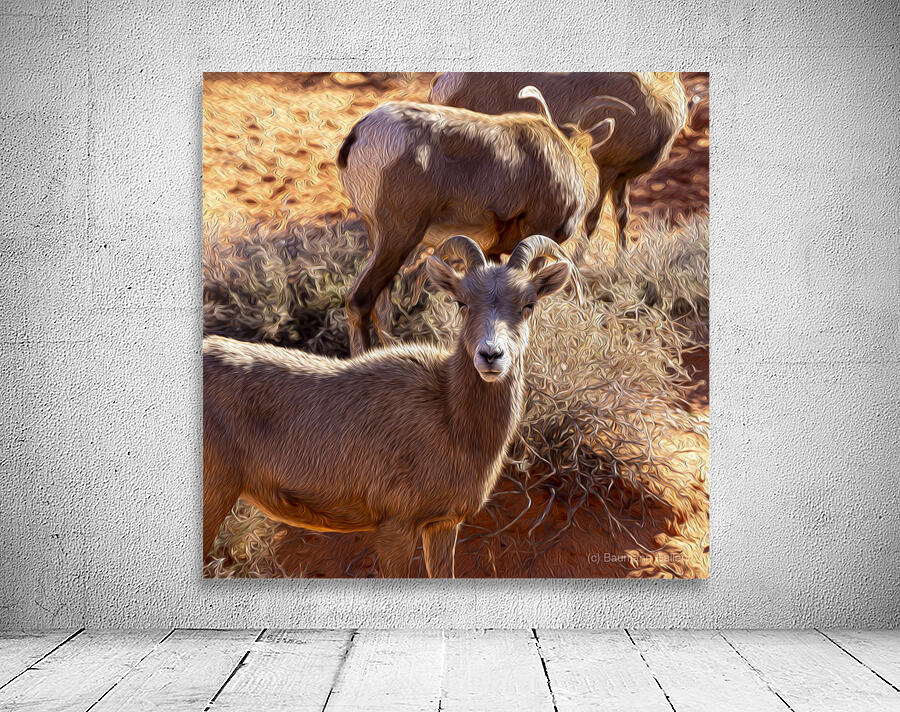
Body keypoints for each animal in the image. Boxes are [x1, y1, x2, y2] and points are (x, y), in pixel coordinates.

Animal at [203, 234, 573, 578]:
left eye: (528, 305)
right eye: (462, 303)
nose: (491, 355)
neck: (450, 418)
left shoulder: (443, 527)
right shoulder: (396, 530)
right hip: (215, 496)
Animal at [336, 86, 625, 355]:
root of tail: (361, 133)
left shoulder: (492, 251)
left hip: (378, 237)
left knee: (381, 307)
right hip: (399, 236)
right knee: (360, 300)